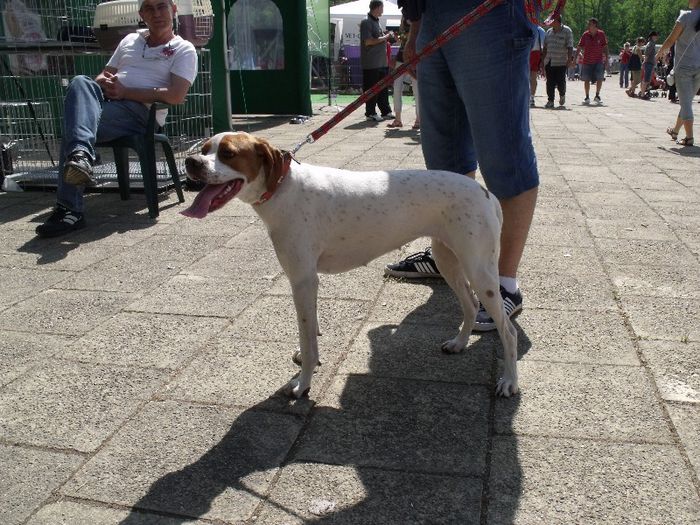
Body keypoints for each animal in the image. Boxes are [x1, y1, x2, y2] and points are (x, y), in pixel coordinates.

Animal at [182, 131, 520, 398]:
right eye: (204, 148)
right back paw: (459, 343)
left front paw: (303, 383)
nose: (190, 162)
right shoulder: (307, 282)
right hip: (448, 260)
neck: (283, 187)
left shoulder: (302, 279)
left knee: (508, 332)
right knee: (469, 306)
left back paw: (509, 382)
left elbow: (307, 338)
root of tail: (485, 192)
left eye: (228, 153)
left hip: (480, 272)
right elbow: (311, 330)